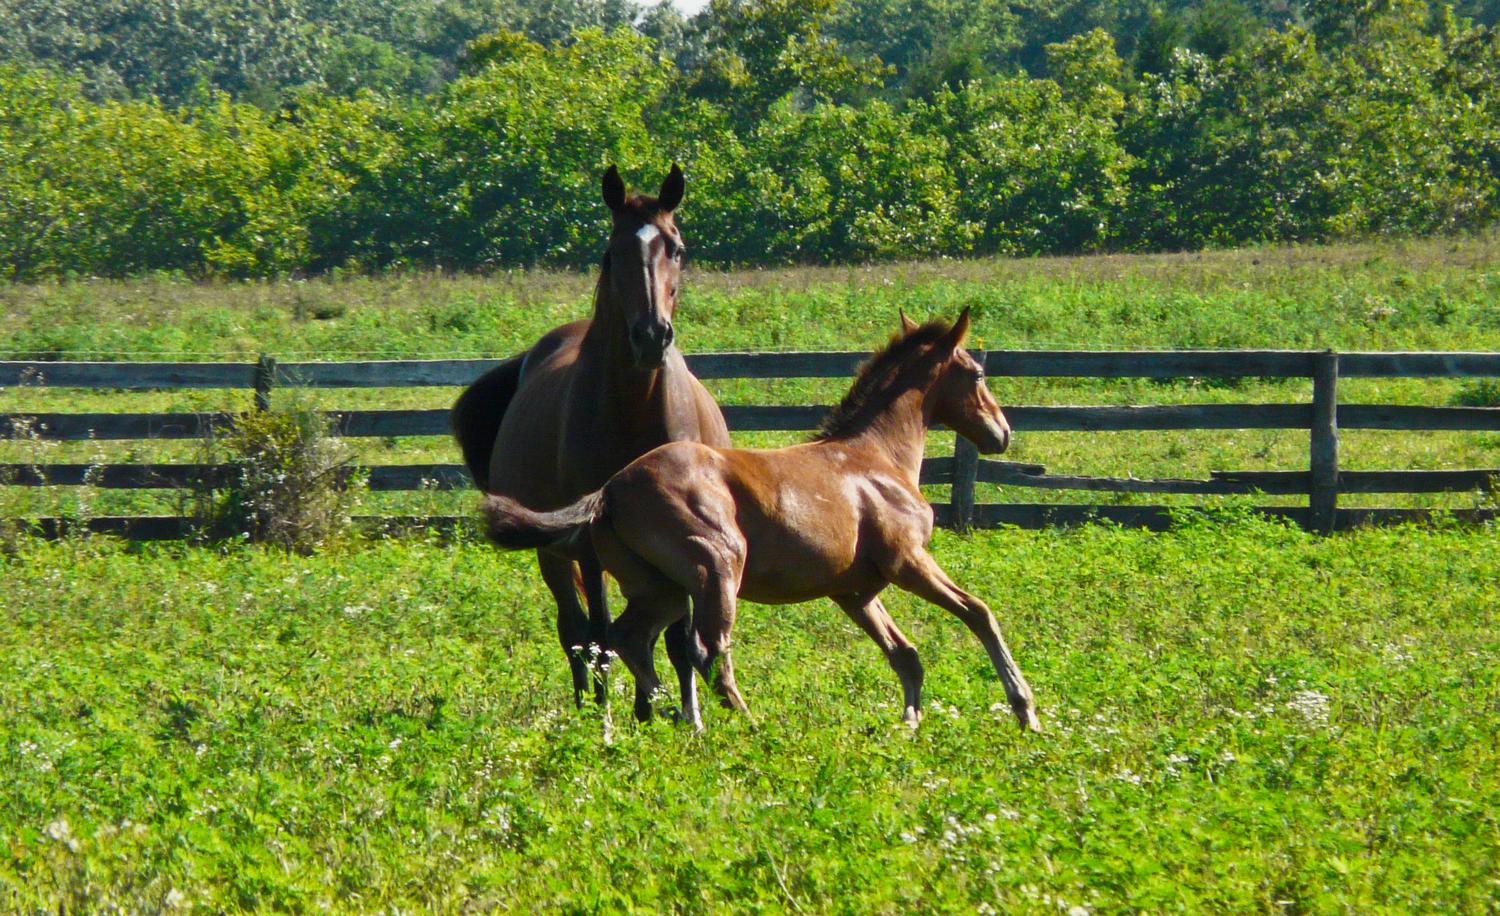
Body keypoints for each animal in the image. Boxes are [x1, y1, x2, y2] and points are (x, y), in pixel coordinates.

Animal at [453, 164, 729, 710]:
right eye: (612, 252)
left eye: (677, 248)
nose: (651, 336)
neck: (634, 413)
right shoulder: (589, 548)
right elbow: (603, 637)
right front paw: (614, 719)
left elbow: (678, 640)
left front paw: (677, 715)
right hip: (556, 553)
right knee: (577, 631)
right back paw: (587, 708)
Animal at [480, 311, 1044, 734]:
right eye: (977, 374)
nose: (1002, 433)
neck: (875, 459)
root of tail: (611, 489)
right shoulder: (907, 561)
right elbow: (979, 613)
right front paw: (1025, 709)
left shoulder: (854, 591)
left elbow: (905, 654)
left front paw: (908, 725)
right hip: (717, 571)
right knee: (707, 652)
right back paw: (745, 724)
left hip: (659, 588)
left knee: (626, 639)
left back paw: (669, 717)